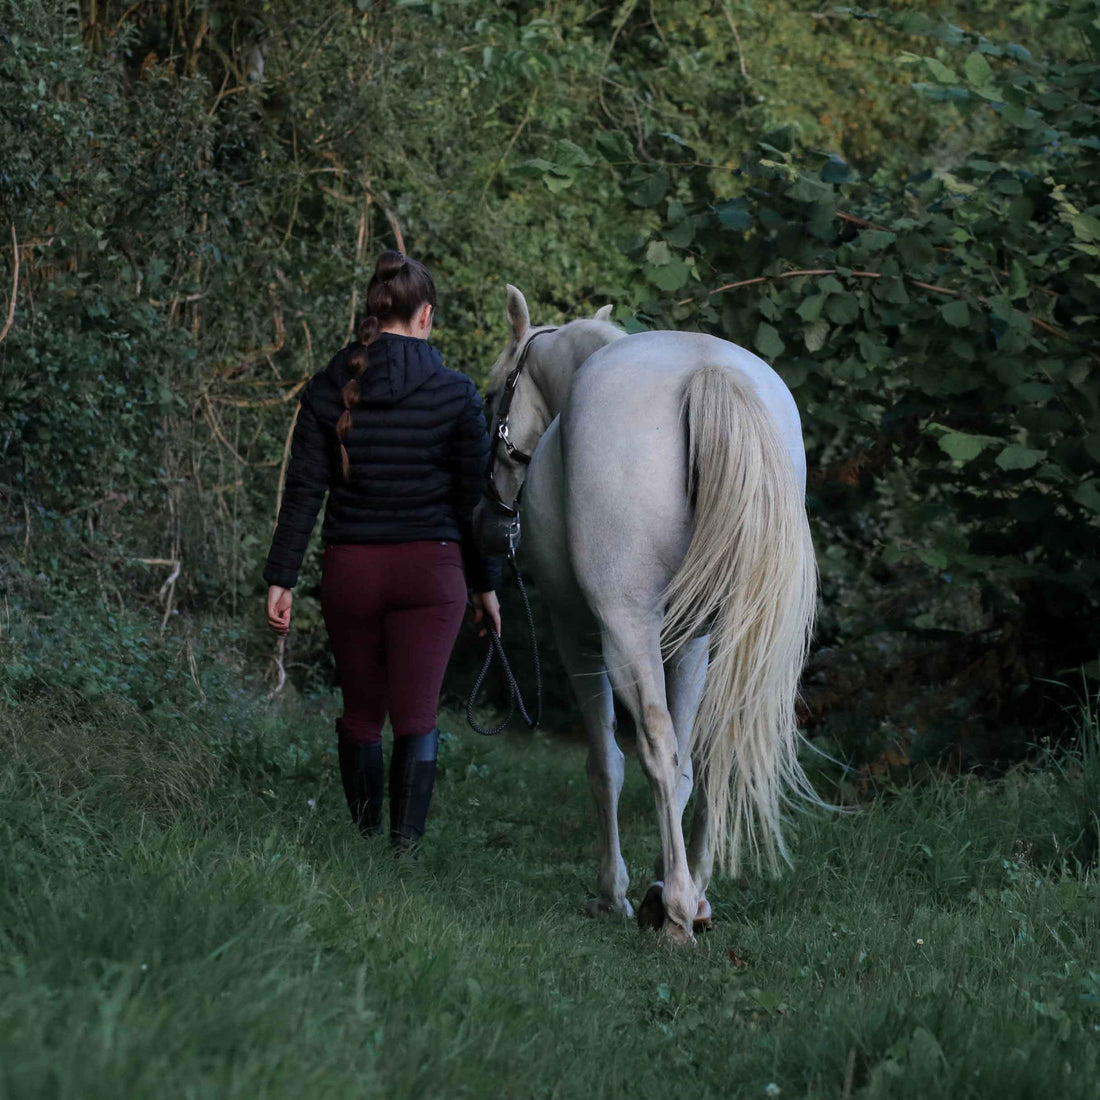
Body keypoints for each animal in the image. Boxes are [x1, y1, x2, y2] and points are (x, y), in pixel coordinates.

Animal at [477, 288, 822, 941]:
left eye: (490, 395)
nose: (493, 509)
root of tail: (707, 372)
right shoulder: (689, 644)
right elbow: (686, 767)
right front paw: (659, 885)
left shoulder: (577, 634)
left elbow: (607, 764)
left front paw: (615, 892)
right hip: (720, 635)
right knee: (715, 748)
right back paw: (696, 893)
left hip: (624, 629)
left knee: (654, 745)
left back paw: (680, 911)